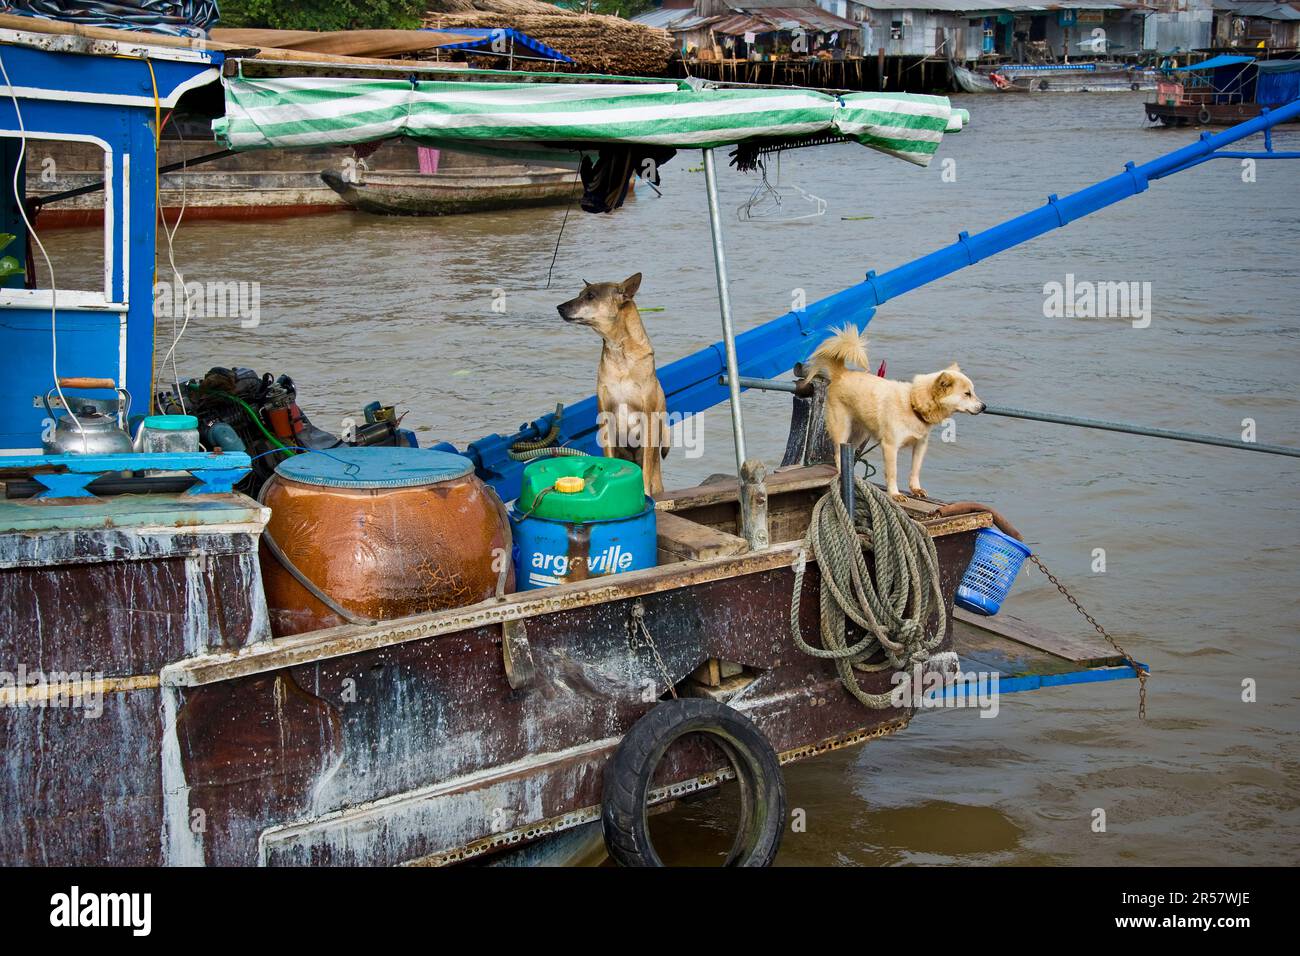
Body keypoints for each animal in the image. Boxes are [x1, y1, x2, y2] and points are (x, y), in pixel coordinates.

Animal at [553, 269, 665, 494]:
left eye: (590, 296)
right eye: (580, 293)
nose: (559, 307)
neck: (619, 349)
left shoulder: (647, 419)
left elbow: (647, 466)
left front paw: (644, 493)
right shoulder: (605, 418)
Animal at [800, 325, 982, 502]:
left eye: (973, 392)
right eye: (967, 394)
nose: (984, 406)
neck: (912, 404)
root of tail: (842, 373)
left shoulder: (920, 445)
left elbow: (915, 469)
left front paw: (916, 489)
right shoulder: (890, 446)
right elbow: (892, 472)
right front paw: (895, 494)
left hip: (859, 433)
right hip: (842, 428)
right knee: (838, 453)